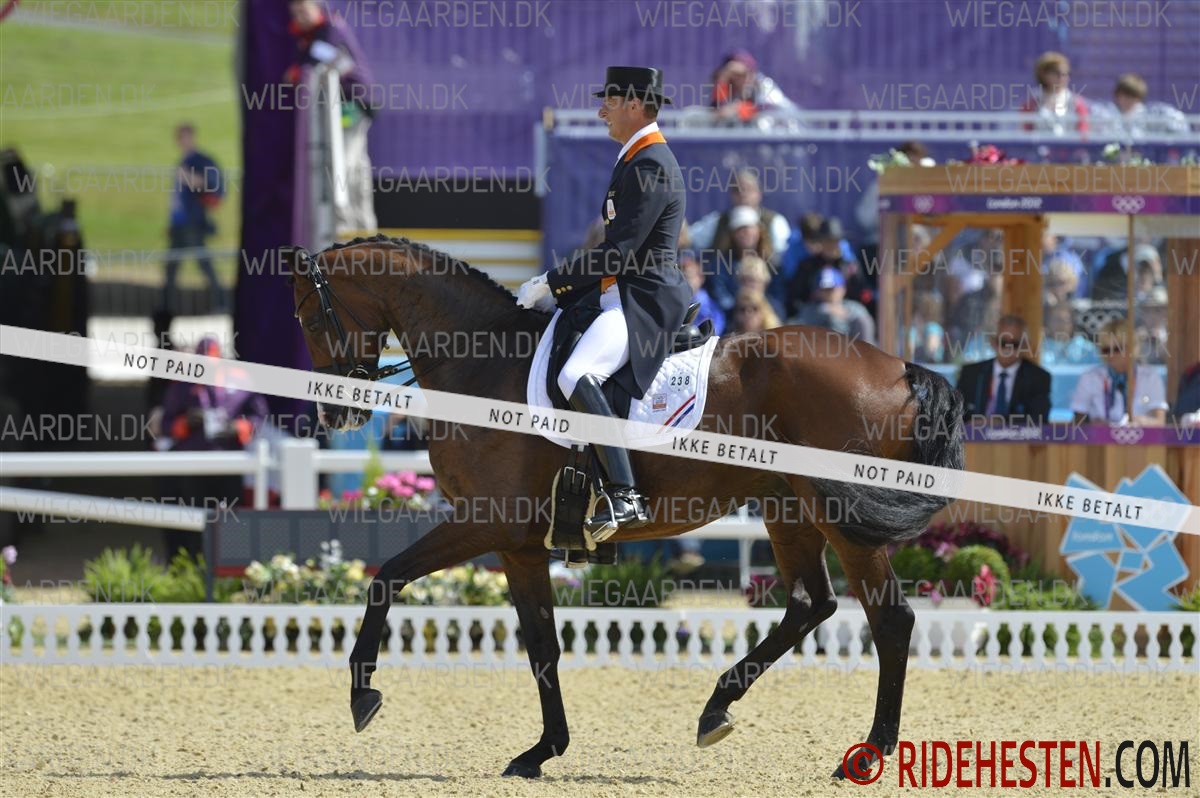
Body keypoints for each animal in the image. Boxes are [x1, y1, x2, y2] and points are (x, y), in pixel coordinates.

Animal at [286, 234, 964, 780]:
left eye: (308, 317)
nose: (333, 416)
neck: (481, 362)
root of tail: (900, 367)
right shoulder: (519, 545)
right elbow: (542, 647)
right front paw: (541, 752)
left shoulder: (485, 523)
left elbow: (386, 577)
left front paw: (363, 697)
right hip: (788, 507)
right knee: (809, 604)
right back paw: (716, 708)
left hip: (839, 518)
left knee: (889, 621)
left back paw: (867, 754)